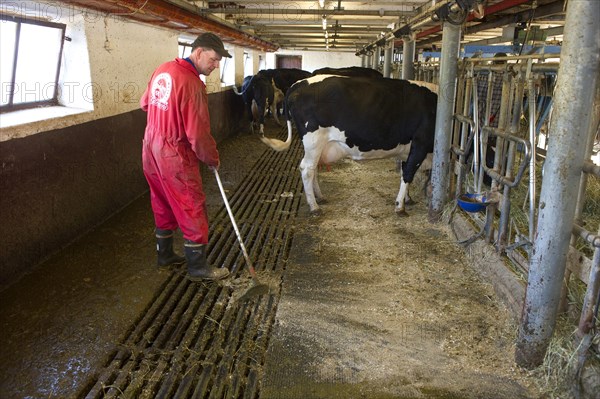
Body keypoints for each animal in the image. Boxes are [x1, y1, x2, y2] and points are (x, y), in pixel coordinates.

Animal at [260, 74, 438, 216]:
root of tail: (299, 83)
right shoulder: (420, 143)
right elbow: (408, 173)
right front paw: (400, 206)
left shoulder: (408, 150)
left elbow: (404, 170)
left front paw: (408, 198)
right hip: (313, 140)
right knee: (307, 169)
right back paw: (314, 206)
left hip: (317, 146)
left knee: (314, 168)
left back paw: (320, 197)